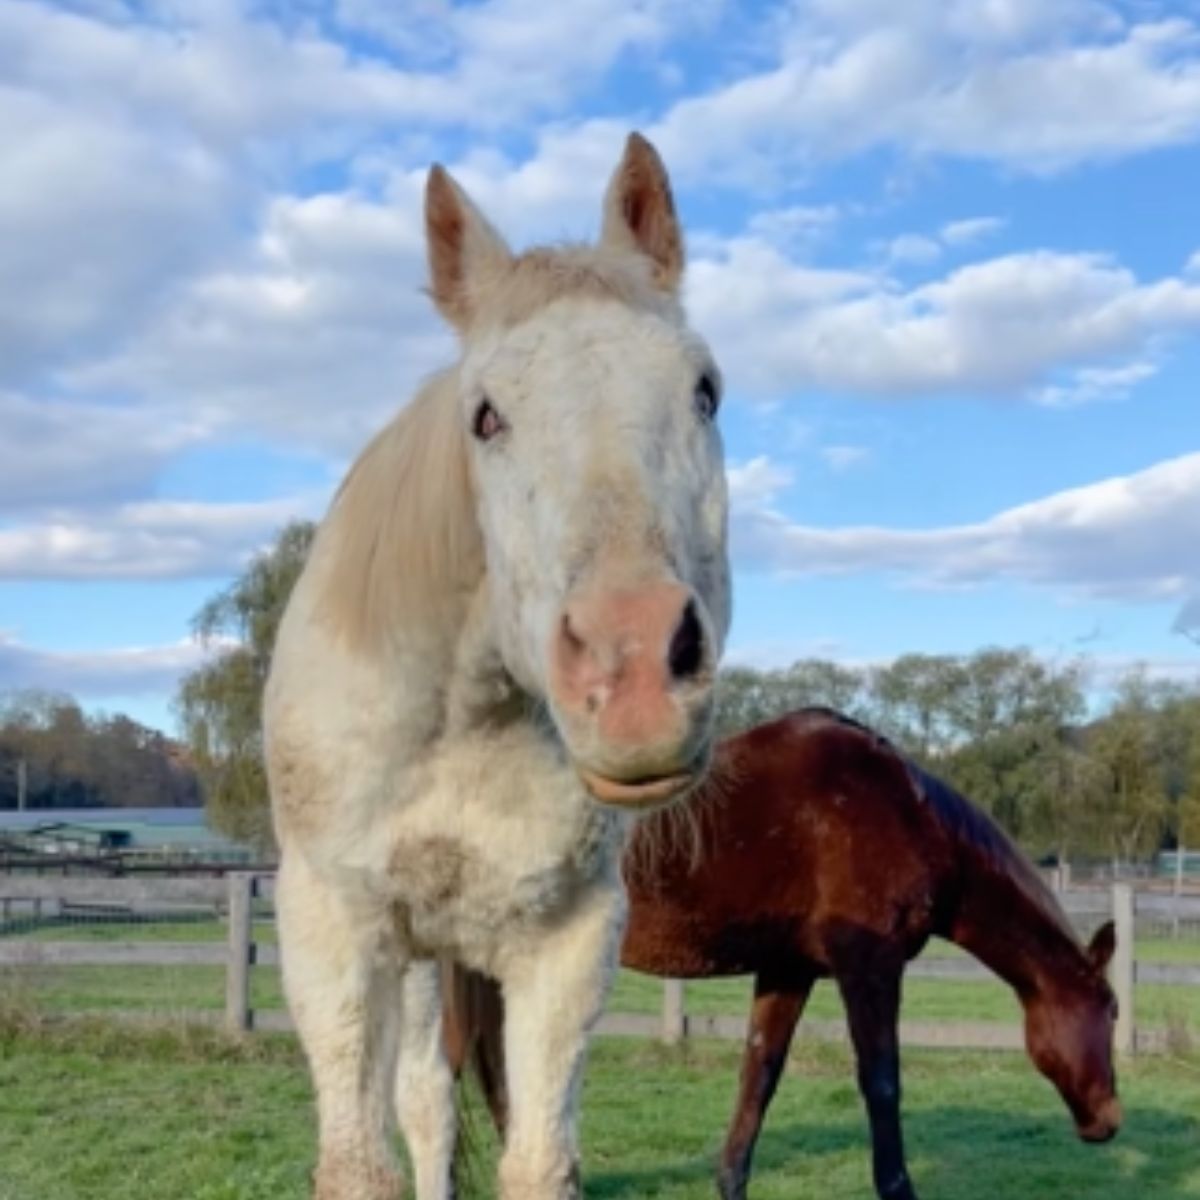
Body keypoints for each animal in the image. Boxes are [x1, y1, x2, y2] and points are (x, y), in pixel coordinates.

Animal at [263, 132, 731, 1200]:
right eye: (486, 416)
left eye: (705, 390)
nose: (635, 672)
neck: (456, 718)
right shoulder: (335, 936)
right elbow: (360, 1164)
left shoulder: (566, 943)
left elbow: (538, 1162)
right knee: (422, 1107)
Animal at [443, 708, 1122, 1200]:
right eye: (1113, 1012)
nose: (1109, 1120)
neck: (903, 811)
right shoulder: (869, 968)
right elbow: (881, 1081)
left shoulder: (787, 970)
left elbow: (759, 1076)